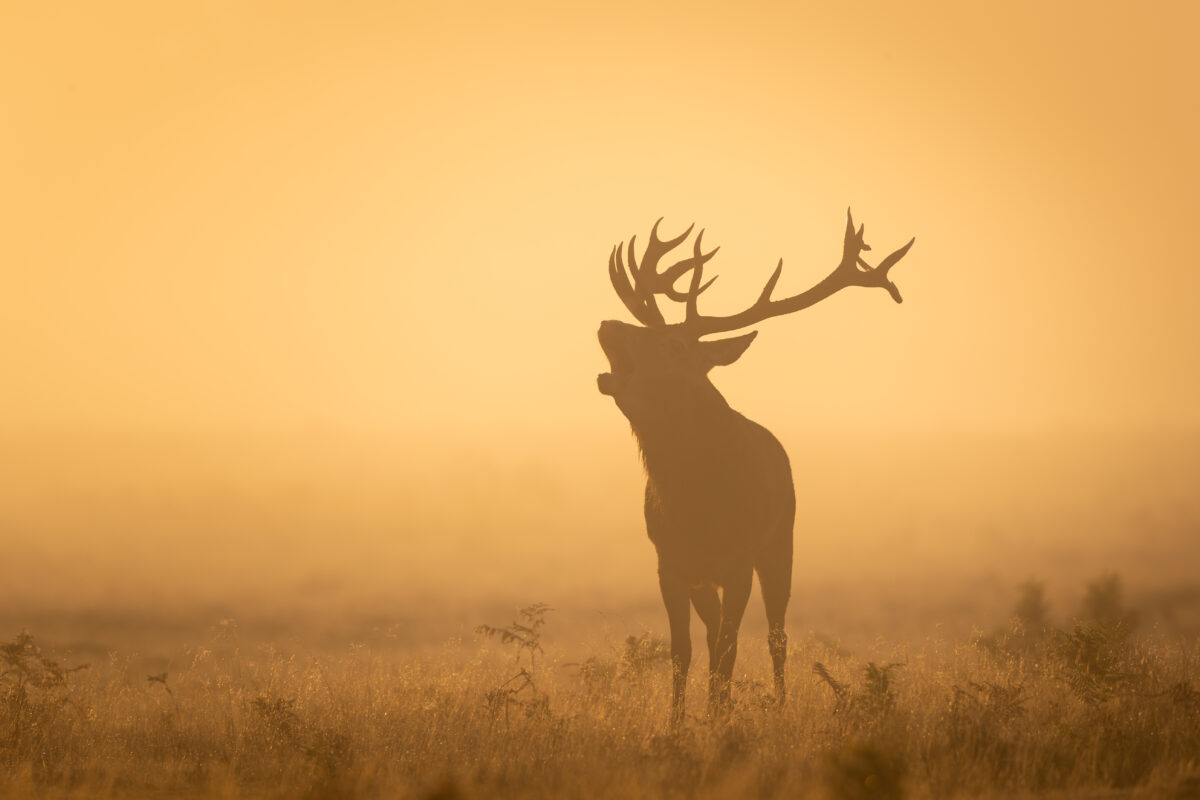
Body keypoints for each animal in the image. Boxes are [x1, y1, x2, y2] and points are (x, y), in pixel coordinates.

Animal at [597, 210, 914, 723]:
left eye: (676, 345)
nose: (608, 325)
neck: (693, 504)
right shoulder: (669, 563)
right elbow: (683, 652)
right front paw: (678, 724)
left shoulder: (740, 560)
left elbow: (729, 650)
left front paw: (719, 719)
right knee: (714, 633)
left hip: (781, 544)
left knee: (775, 636)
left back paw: (779, 705)